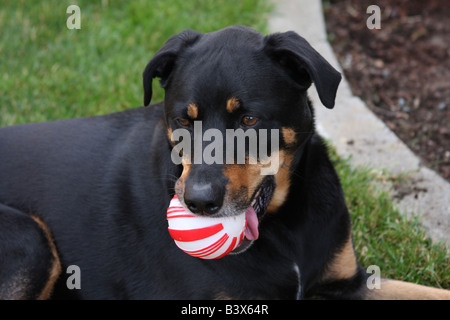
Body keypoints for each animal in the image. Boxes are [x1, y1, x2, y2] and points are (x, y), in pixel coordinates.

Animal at [0, 25, 450, 300]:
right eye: (184, 121)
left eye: (249, 120)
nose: (199, 203)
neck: (284, 226)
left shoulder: (349, 282)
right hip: (31, 237)